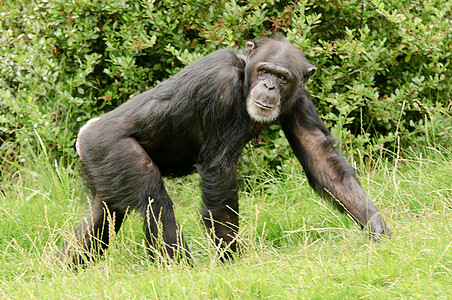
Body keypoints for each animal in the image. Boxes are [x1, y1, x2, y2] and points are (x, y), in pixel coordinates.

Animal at [62, 36, 388, 264]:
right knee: (155, 201)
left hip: (103, 167)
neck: (245, 74)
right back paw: (181, 268)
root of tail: (84, 134)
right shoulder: (219, 88)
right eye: (265, 70)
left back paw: (63, 267)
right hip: (112, 148)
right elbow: (219, 173)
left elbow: (320, 157)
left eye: (282, 77)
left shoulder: (299, 98)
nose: (269, 87)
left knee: (103, 217)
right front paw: (232, 261)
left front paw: (377, 229)